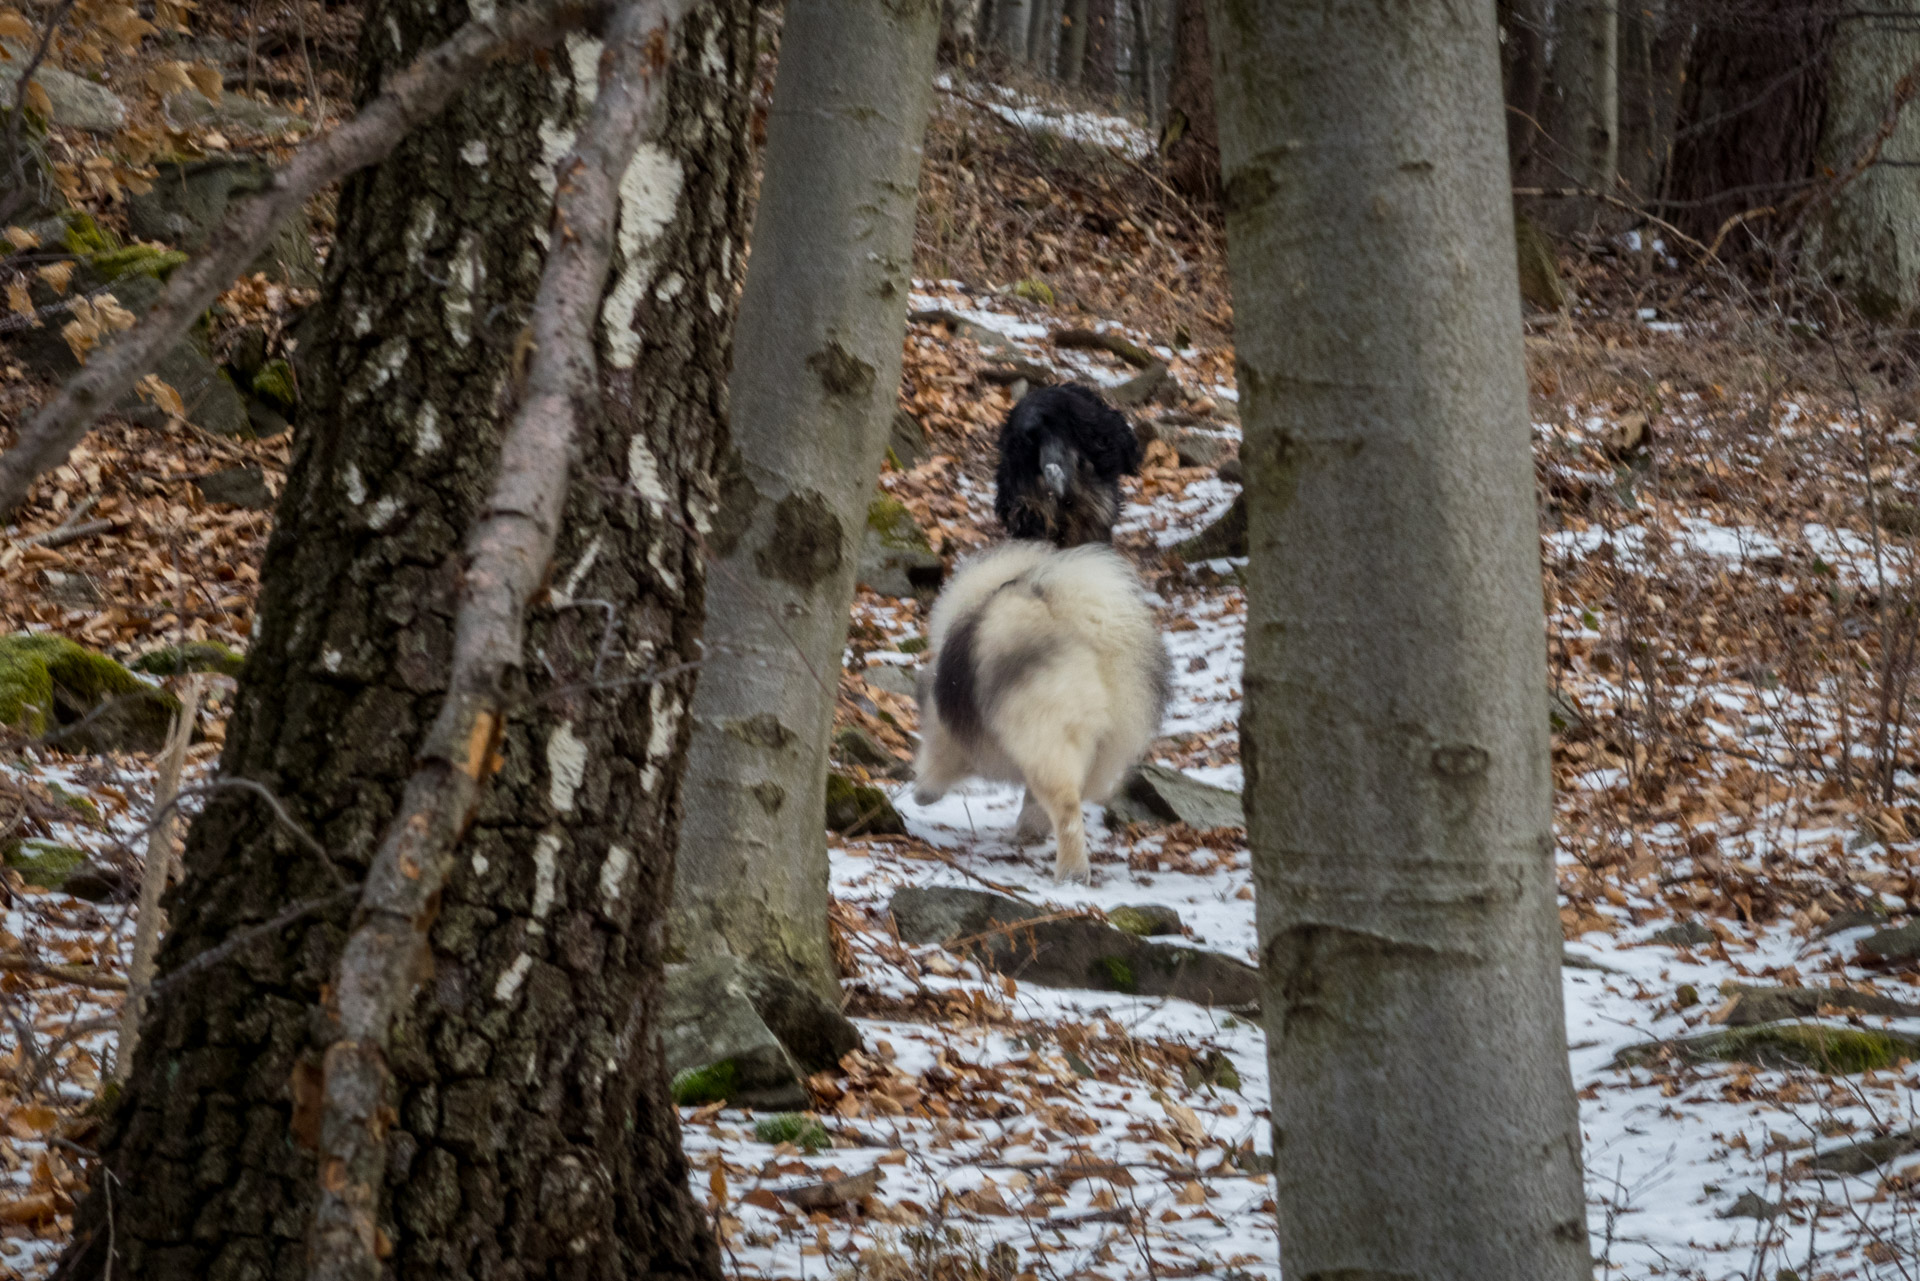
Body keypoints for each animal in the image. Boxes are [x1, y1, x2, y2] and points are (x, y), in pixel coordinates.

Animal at [913, 541, 1167, 883]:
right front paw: (1030, 829)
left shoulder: (946, 731)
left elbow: (936, 757)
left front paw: (922, 793)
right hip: (1102, 742)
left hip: (1043, 736)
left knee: (1067, 808)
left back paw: (1071, 873)